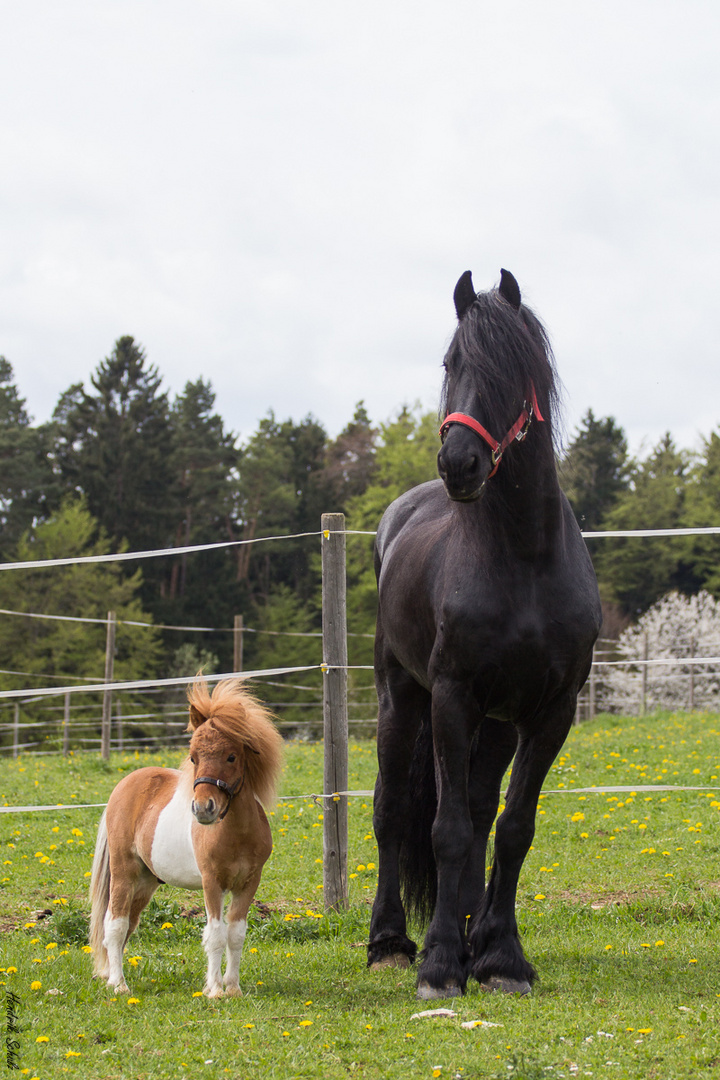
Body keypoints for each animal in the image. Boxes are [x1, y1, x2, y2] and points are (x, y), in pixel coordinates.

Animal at [88, 678, 282, 997]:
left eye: (231, 756)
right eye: (194, 757)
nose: (203, 809)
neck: (236, 835)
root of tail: (125, 785)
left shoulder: (248, 883)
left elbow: (236, 934)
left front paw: (233, 988)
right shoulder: (212, 882)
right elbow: (215, 934)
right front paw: (215, 990)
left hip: (146, 882)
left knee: (128, 924)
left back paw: (109, 975)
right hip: (123, 872)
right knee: (114, 924)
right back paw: (119, 983)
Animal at [369, 267, 600, 993]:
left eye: (512, 371)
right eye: (452, 363)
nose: (459, 464)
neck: (523, 558)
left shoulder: (550, 711)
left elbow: (511, 826)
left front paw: (501, 956)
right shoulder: (452, 697)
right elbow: (444, 830)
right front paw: (442, 962)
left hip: (496, 724)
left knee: (476, 806)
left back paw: (473, 941)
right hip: (401, 698)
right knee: (392, 808)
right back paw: (391, 941)